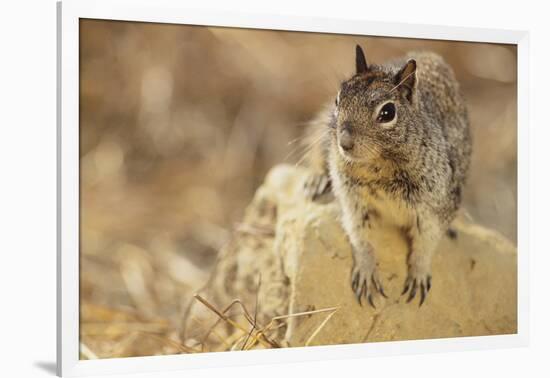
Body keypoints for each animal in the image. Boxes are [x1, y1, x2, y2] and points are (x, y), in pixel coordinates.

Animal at [304, 45, 472, 308]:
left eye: (387, 112)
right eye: (338, 99)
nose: (344, 143)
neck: (377, 167)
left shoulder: (435, 206)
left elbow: (426, 243)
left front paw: (419, 274)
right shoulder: (352, 201)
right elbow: (359, 236)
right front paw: (366, 271)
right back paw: (316, 179)